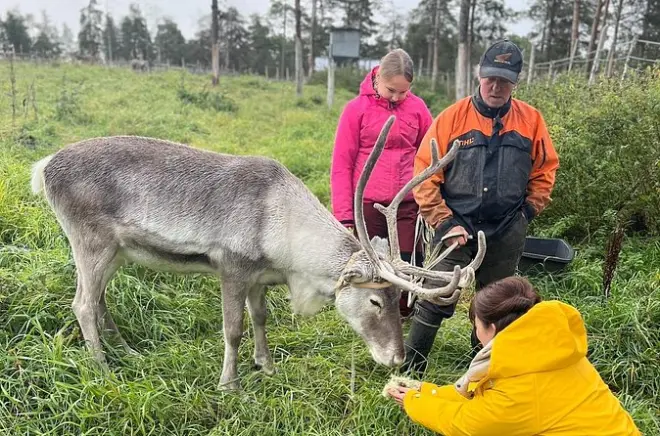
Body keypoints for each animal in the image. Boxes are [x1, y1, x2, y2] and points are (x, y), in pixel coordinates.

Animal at [30, 115, 486, 390]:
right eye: (375, 300)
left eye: (400, 298)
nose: (396, 358)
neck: (284, 243)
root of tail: (44, 166)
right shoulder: (230, 266)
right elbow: (233, 328)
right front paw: (228, 383)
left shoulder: (259, 277)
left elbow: (261, 319)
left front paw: (266, 366)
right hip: (90, 241)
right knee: (82, 303)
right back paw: (103, 369)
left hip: (116, 252)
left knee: (99, 299)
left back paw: (126, 352)